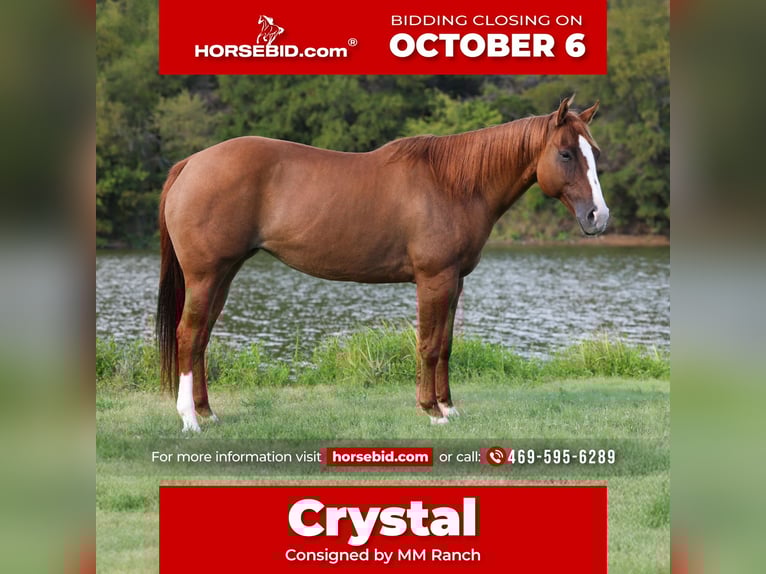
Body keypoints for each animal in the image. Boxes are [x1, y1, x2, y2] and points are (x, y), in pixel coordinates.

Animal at [156, 96, 608, 432]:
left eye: (595, 154)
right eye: (566, 153)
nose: (598, 217)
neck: (454, 185)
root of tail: (191, 163)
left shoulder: (455, 282)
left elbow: (446, 345)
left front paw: (449, 406)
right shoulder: (433, 280)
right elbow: (428, 345)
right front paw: (431, 411)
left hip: (224, 274)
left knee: (202, 338)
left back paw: (208, 413)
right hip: (206, 275)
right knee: (188, 335)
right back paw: (189, 419)